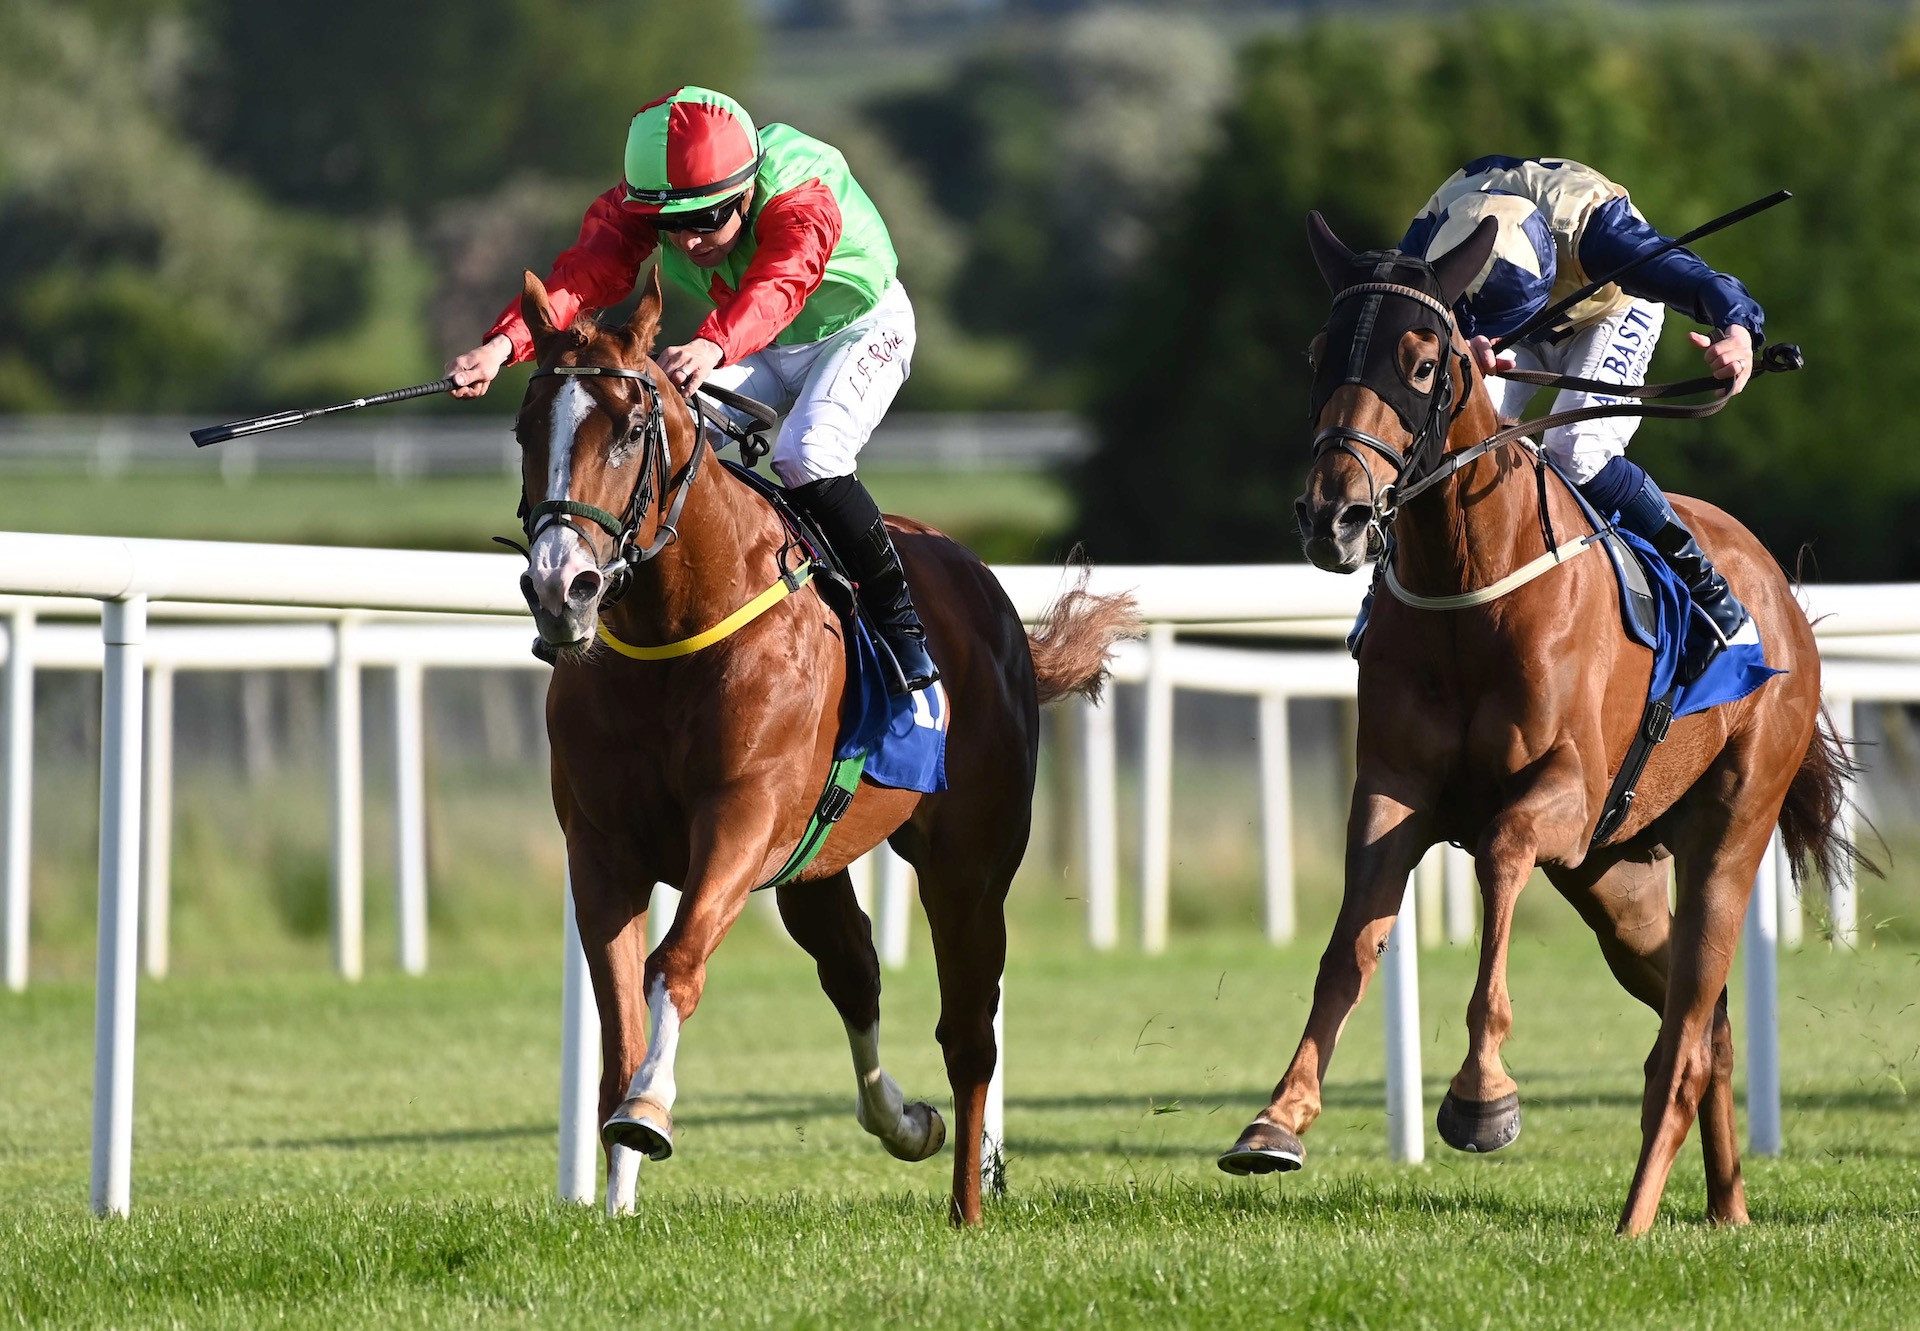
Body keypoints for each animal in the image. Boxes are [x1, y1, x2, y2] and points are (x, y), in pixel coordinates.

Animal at [514, 270, 1136, 1221]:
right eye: (524, 429)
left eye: (625, 429)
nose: (561, 589)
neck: (674, 632)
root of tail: (990, 594)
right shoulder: (603, 846)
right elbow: (619, 1020)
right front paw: (616, 1198)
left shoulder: (739, 817)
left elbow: (676, 959)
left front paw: (649, 1114)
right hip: (812, 863)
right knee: (854, 969)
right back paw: (906, 1122)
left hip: (968, 862)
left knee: (969, 1031)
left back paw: (968, 1205)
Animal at [1213, 215, 1858, 1236]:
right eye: (1321, 353)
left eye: (1423, 362)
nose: (1333, 513)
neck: (1469, 584)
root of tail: (1778, 592)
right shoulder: (1391, 790)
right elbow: (1352, 941)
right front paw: (1279, 1117)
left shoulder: (1561, 790)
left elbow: (1502, 852)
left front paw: (1483, 1094)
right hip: (1617, 878)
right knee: (1705, 1021)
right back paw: (1727, 1208)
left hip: (1729, 831)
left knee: (1684, 1039)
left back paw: (1636, 1218)